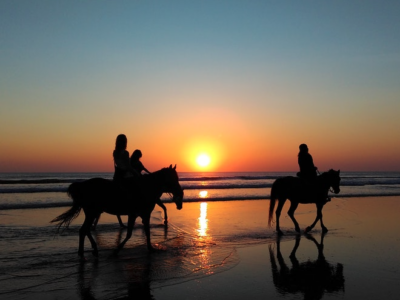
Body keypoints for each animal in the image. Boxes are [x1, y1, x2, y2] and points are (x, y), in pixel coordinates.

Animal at [50, 165, 184, 258]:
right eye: (173, 178)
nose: (180, 193)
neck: (146, 188)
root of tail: (82, 185)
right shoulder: (135, 214)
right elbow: (131, 233)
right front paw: (116, 251)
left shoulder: (143, 215)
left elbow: (146, 231)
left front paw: (150, 248)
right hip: (92, 212)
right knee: (84, 230)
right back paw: (86, 252)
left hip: (92, 213)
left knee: (85, 230)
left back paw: (90, 250)